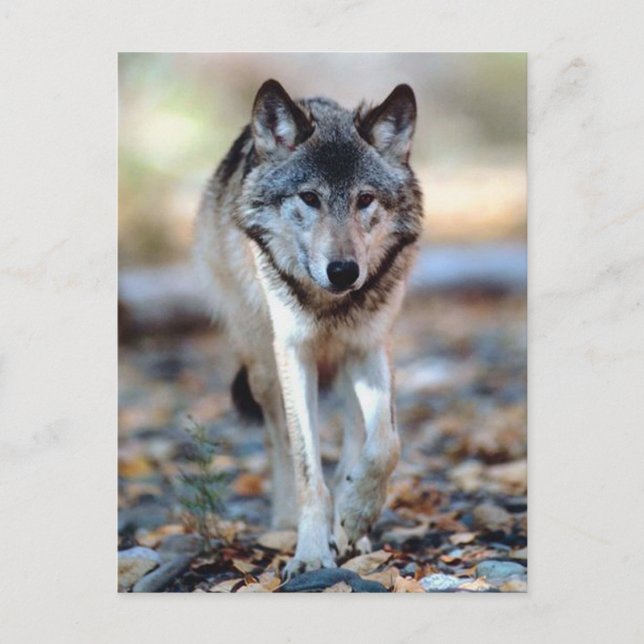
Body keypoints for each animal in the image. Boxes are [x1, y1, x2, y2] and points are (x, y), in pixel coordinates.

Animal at [194, 79, 423, 577]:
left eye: (364, 199)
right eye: (310, 198)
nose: (343, 271)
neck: (330, 305)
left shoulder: (371, 346)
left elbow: (387, 443)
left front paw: (357, 510)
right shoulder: (294, 355)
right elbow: (306, 466)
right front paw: (312, 552)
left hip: (348, 367)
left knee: (357, 438)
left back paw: (353, 529)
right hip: (262, 367)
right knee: (277, 438)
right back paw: (285, 522)